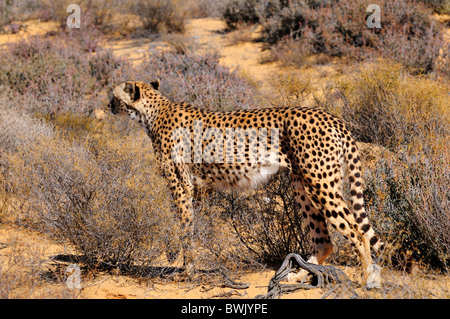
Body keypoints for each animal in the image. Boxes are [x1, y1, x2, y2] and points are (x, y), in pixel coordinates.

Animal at [108, 79, 384, 288]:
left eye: (114, 96)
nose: (108, 105)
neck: (154, 111)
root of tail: (331, 116)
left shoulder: (181, 186)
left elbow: (185, 229)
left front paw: (186, 271)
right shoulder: (198, 188)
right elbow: (191, 225)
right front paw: (189, 266)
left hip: (320, 182)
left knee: (357, 232)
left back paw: (366, 280)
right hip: (302, 185)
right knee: (325, 240)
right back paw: (300, 275)